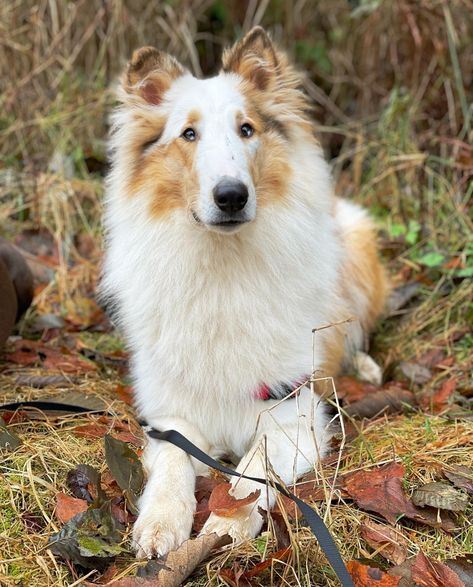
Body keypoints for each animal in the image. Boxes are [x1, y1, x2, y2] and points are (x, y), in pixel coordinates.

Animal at [101, 27, 386, 560]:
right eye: (188, 134)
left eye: (247, 129)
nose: (231, 196)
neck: (223, 267)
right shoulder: (172, 417)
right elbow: (173, 465)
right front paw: (160, 522)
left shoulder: (293, 417)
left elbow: (252, 471)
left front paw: (226, 523)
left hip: (356, 240)